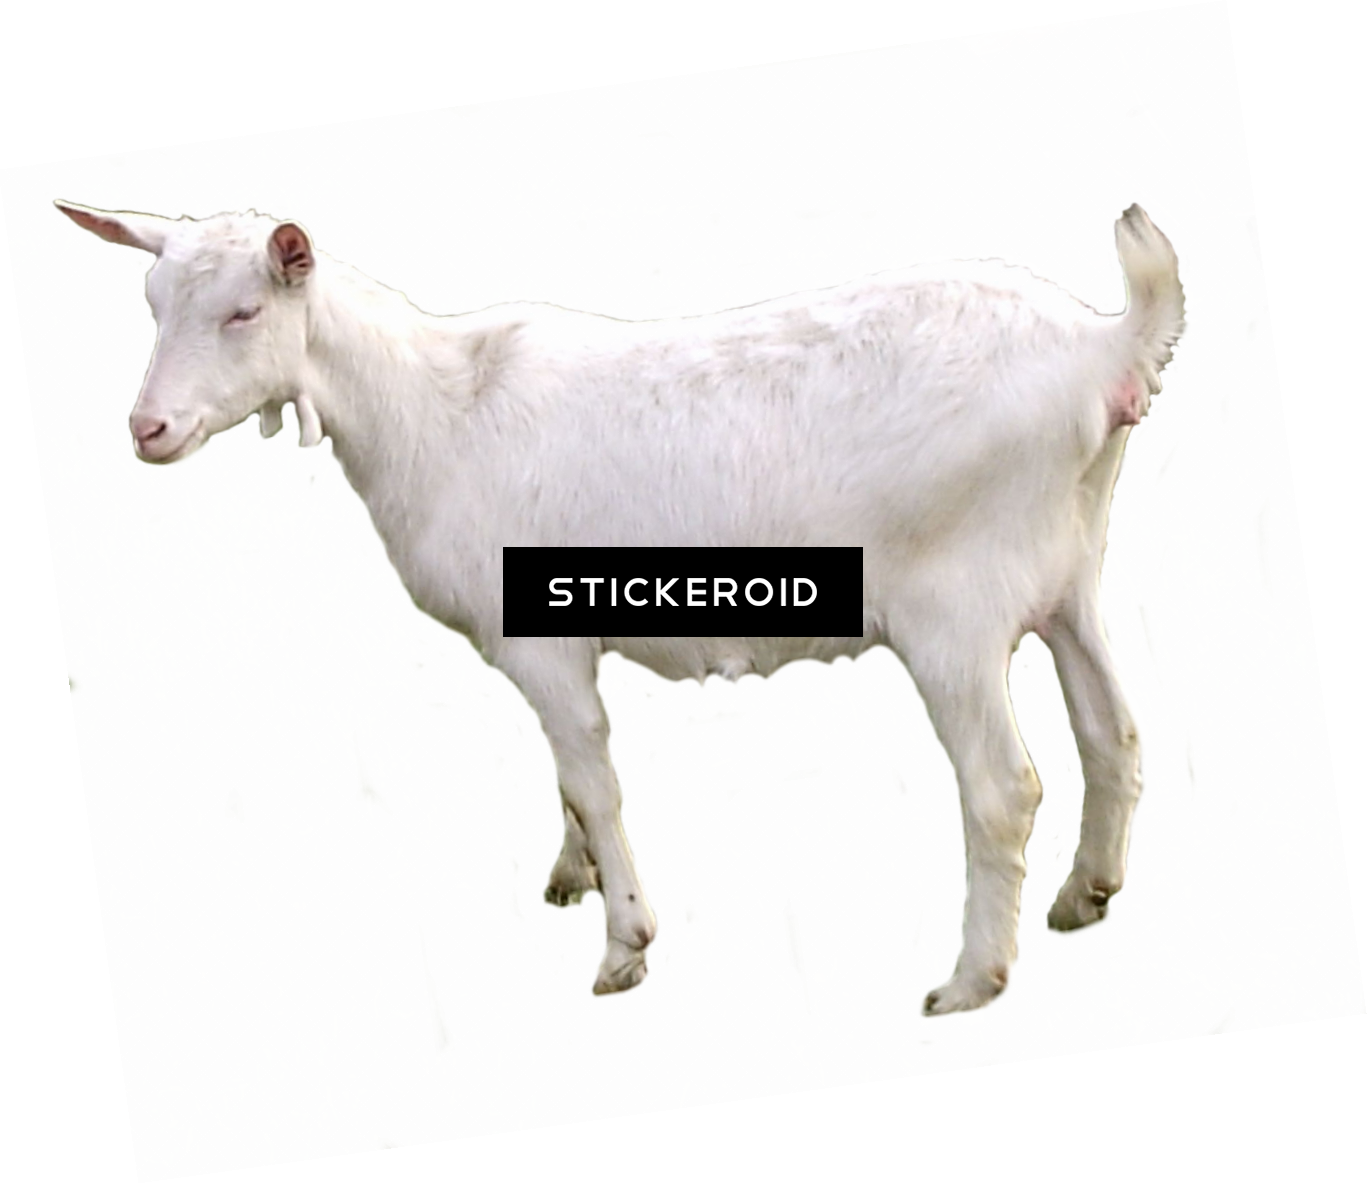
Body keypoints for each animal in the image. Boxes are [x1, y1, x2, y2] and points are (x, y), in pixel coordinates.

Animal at [54, 196, 1187, 1023]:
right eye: (158, 310)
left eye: (243, 312)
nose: (150, 429)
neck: (434, 408)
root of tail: (1103, 350)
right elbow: (572, 775)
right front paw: (571, 874)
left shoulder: (538, 639)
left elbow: (593, 781)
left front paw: (624, 950)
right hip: (1064, 569)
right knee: (1114, 723)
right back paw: (1088, 893)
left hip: (953, 603)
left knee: (1000, 787)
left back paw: (966, 989)